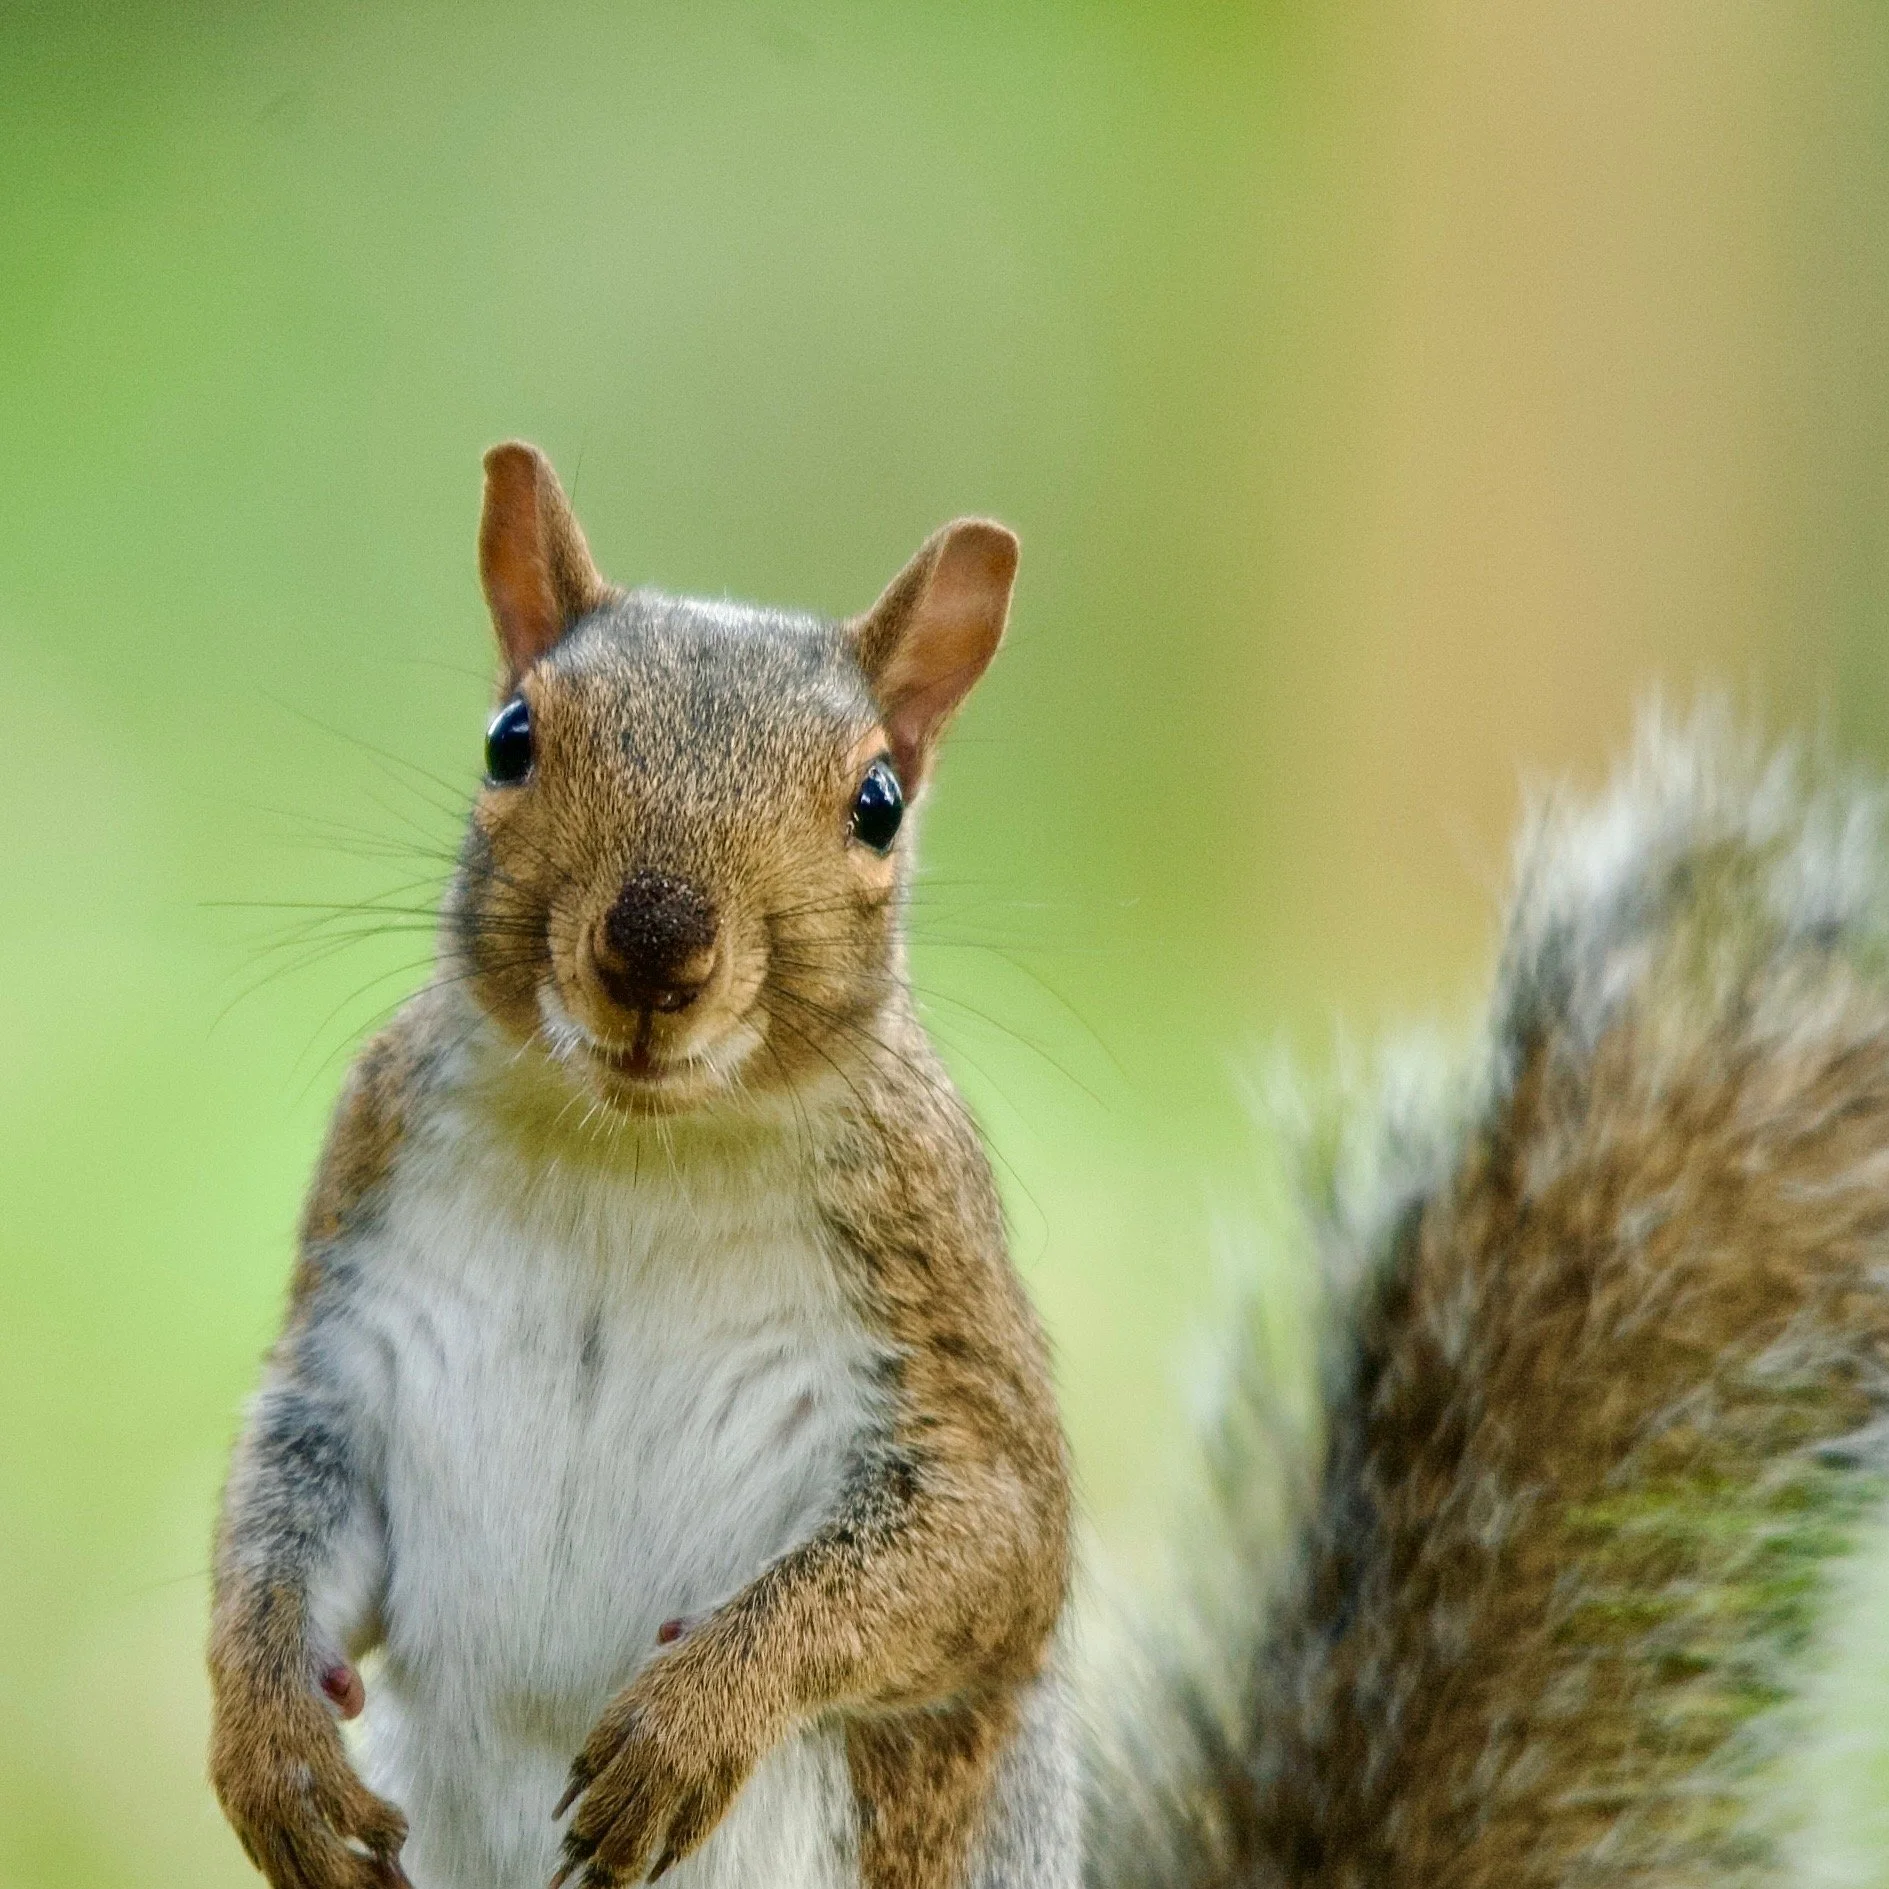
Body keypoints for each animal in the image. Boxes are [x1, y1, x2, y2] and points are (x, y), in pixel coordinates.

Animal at [211, 443, 1889, 1889]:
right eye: (512, 738)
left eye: (878, 802)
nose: (653, 947)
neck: (637, 1151)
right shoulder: (361, 1268)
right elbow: (286, 1510)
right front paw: (269, 1744)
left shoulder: (937, 1310)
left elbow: (982, 1552)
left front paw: (701, 1718)